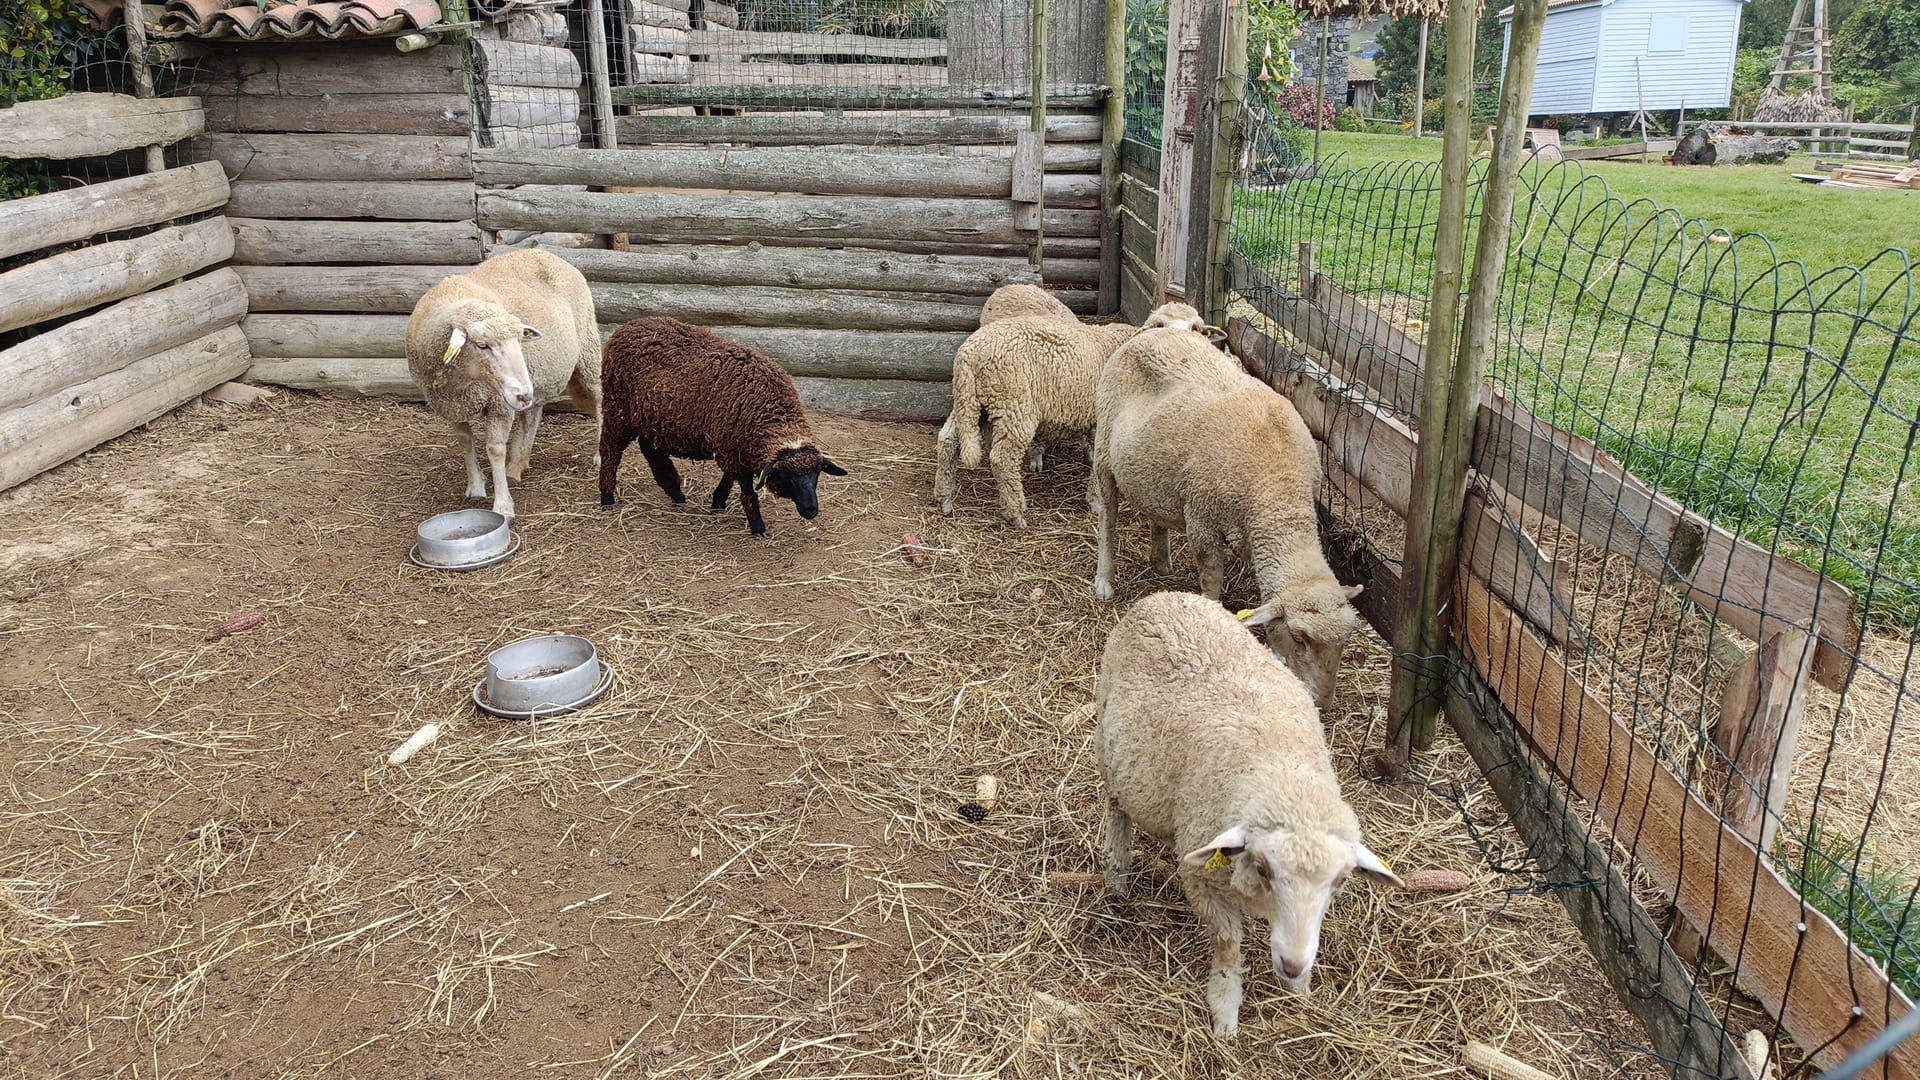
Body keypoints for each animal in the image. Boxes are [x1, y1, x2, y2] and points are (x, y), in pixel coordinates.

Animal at [406, 249, 602, 520]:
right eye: (482, 345)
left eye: (519, 341)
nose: (523, 394)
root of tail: (544, 252)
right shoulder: (450, 405)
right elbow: (465, 442)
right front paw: (476, 486)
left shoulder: (499, 403)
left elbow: (495, 449)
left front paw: (503, 505)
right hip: (538, 376)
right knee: (532, 414)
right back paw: (518, 463)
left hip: (587, 351)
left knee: (600, 399)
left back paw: (600, 455)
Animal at [598, 317, 847, 537]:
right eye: (787, 477)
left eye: (817, 472)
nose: (811, 511)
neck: (771, 412)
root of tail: (628, 326)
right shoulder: (730, 447)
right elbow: (746, 490)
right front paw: (757, 526)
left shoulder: (732, 445)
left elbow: (728, 478)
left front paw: (718, 502)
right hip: (617, 408)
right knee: (610, 451)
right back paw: (607, 497)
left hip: (651, 418)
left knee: (651, 451)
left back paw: (676, 493)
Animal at [934, 302, 1208, 528]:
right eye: (1159, 325)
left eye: (1196, 328)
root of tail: (969, 353)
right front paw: (1096, 502)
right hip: (1014, 403)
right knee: (1003, 459)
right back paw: (1016, 514)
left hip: (972, 400)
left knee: (947, 440)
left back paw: (944, 498)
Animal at [1090, 326, 1362, 708]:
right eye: (1299, 638)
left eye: (1345, 641)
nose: (1321, 703)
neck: (1278, 487)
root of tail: (1153, 331)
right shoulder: (1202, 520)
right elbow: (1212, 580)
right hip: (1104, 453)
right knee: (1108, 521)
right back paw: (1104, 580)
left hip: (1154, 472)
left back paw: (1161, 562)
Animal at [1094, 589, 1402, 1039]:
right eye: (1262, 868)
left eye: (1341, 881)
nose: (1292, 964)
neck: (1284, 775)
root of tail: (1165, 597)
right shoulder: (1202, 881)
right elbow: (1228, 944)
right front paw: (1225, 1009)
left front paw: (1300, 990)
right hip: (1109, 747)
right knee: (1118, 812)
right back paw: (1116, 875)